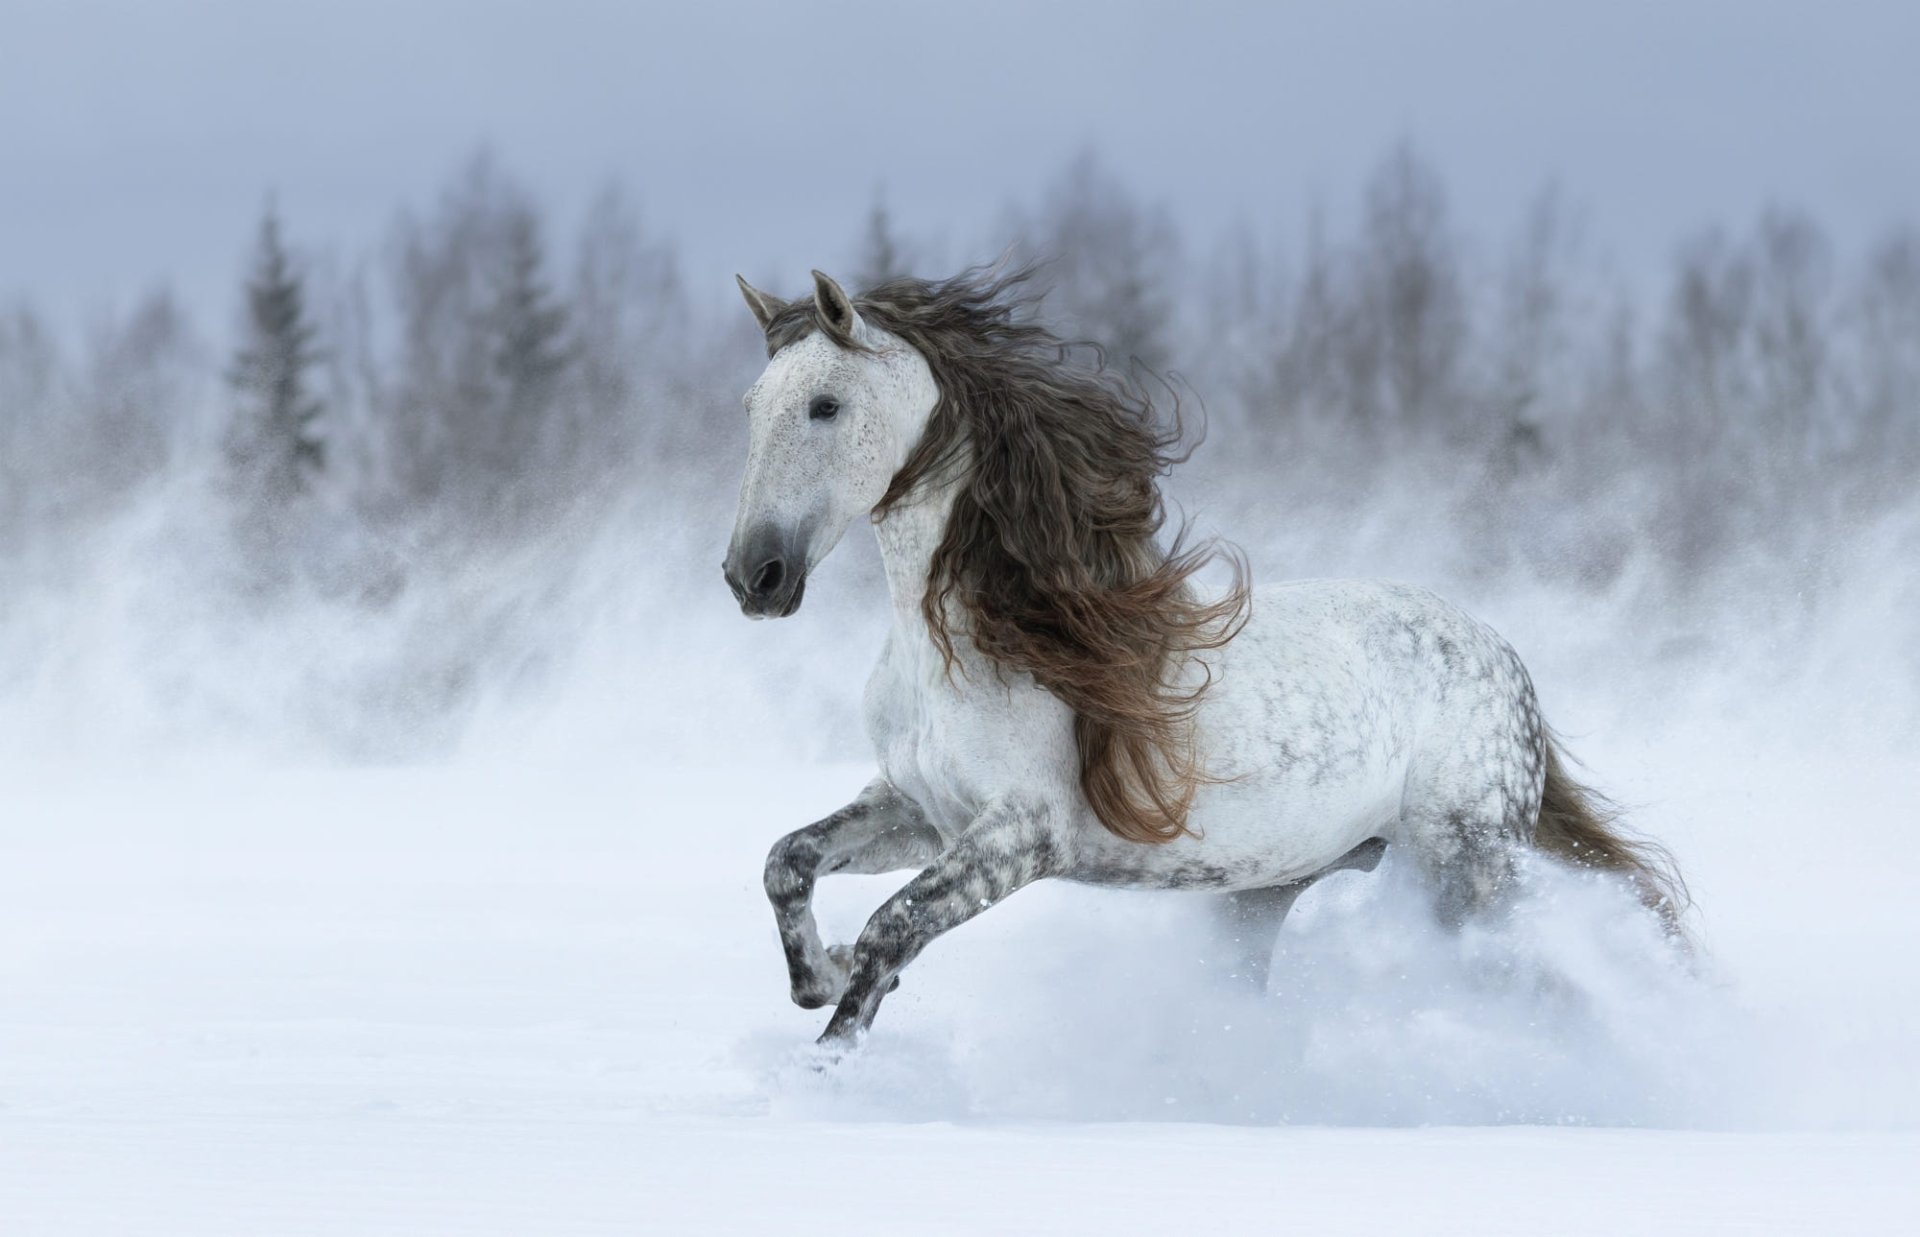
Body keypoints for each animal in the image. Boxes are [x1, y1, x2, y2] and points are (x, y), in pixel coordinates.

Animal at [722, 266, 1685, 1047]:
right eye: (752, 405)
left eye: (825, 404)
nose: (753, 575)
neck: (968, 642)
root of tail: (1505, 659)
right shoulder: (921, 810)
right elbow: (786, 862)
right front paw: (821, 975)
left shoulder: (1022, 835)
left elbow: (894, 925)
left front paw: (834, 1060)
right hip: (1266, 891)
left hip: (1466, 877)